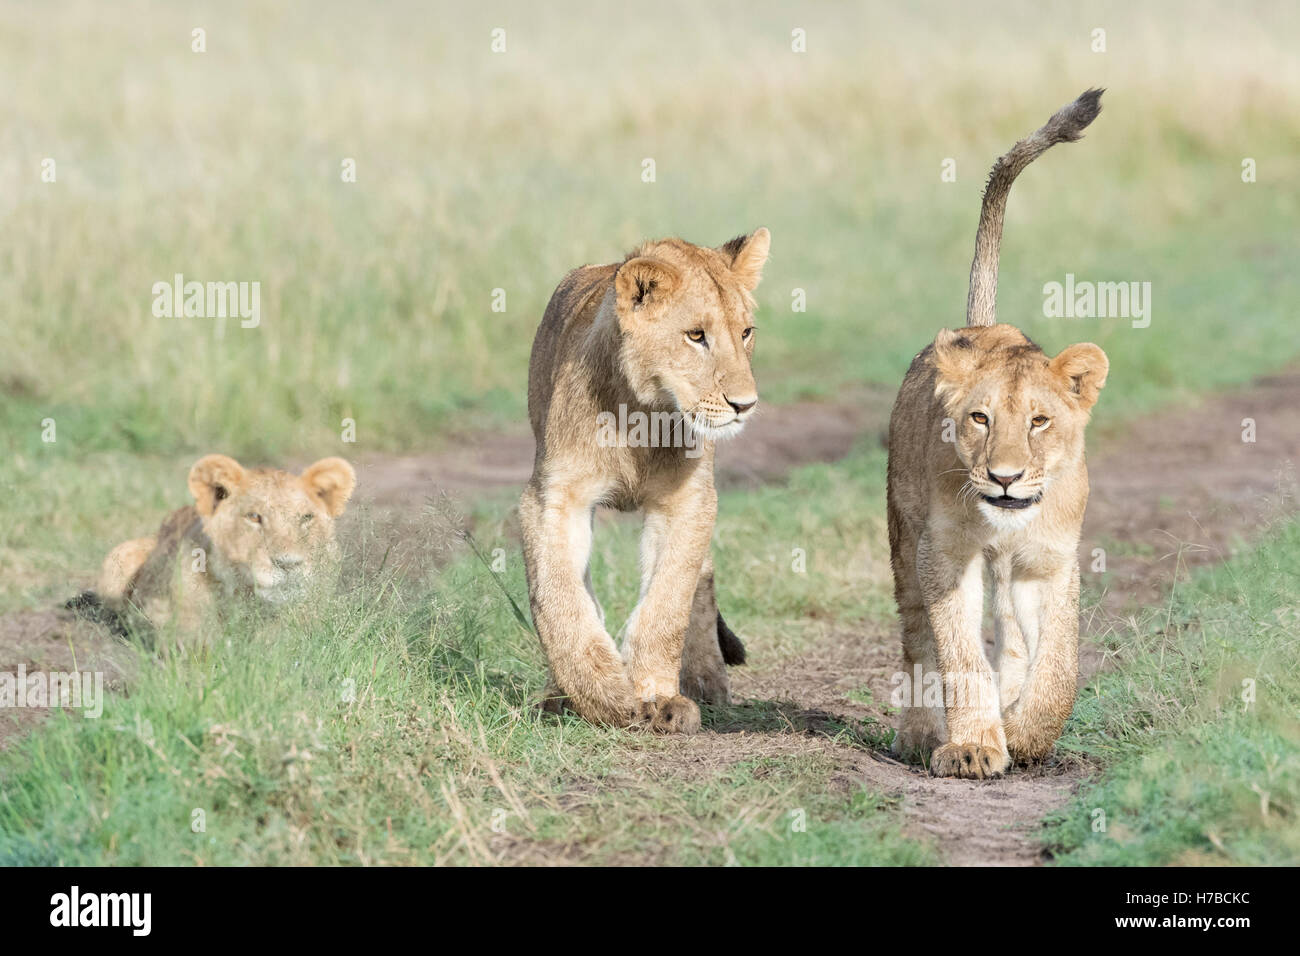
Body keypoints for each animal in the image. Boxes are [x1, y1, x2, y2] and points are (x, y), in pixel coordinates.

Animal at [520, 229, 770, 734]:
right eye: (696, 336)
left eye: (746, 333)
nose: (745, 404)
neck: (643, 415)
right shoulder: (554, 498)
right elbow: (558, 598)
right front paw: (600, 694)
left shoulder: (688, 500)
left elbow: (668, 604)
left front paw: (658, 697)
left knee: (701, 579)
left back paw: (705, 679)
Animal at [886, 90, 1109, 778]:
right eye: (979, 418)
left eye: (1039, 420)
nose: (1005, 478)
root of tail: (983, 326)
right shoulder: (942, 555)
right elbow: (958, 653)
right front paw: (975, 745)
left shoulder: (1049, 560)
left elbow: (1058, 668)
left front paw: (1027, 734)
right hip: (902, 534)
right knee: (915, 637)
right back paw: (919, 733)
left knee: (1011, 637)